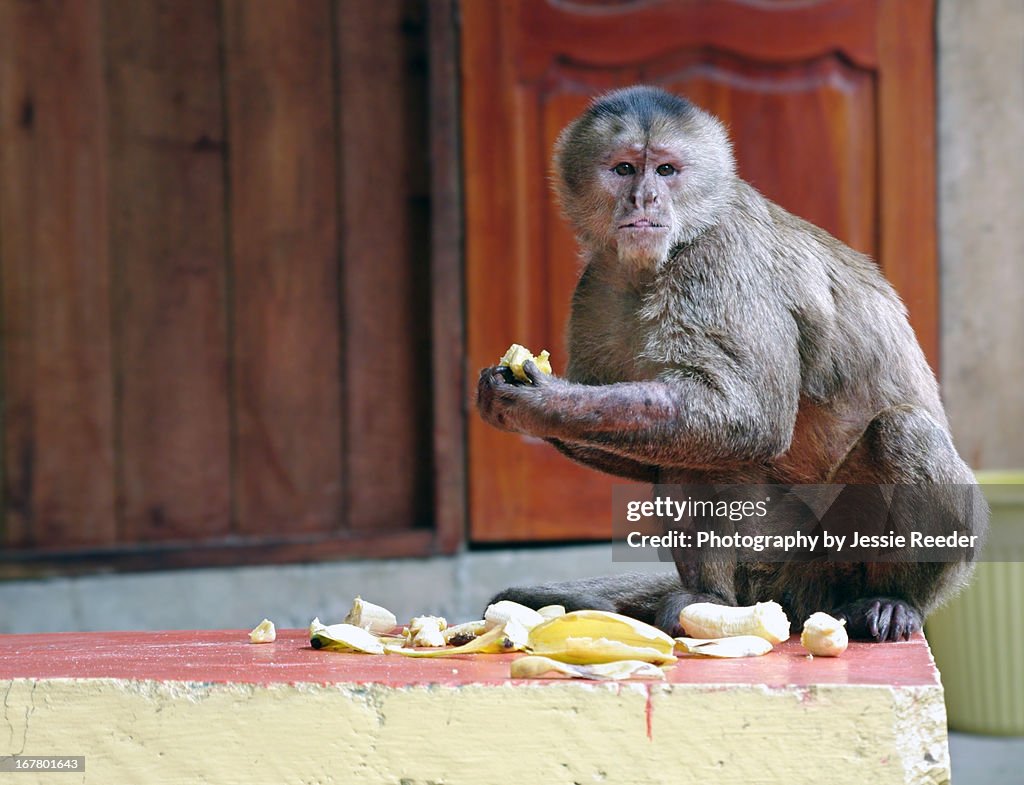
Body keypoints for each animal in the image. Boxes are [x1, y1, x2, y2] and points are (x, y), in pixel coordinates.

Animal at [475, 84, 987, 646]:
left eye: (666, 171)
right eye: (625, 169)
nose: (644, 199)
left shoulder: (720, 259)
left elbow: (752, 419)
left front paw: (541, 399)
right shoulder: (597, 284)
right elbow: (649, 452)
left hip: (834, 557)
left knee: (900, 431)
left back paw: (889, 598)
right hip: (777, 570)